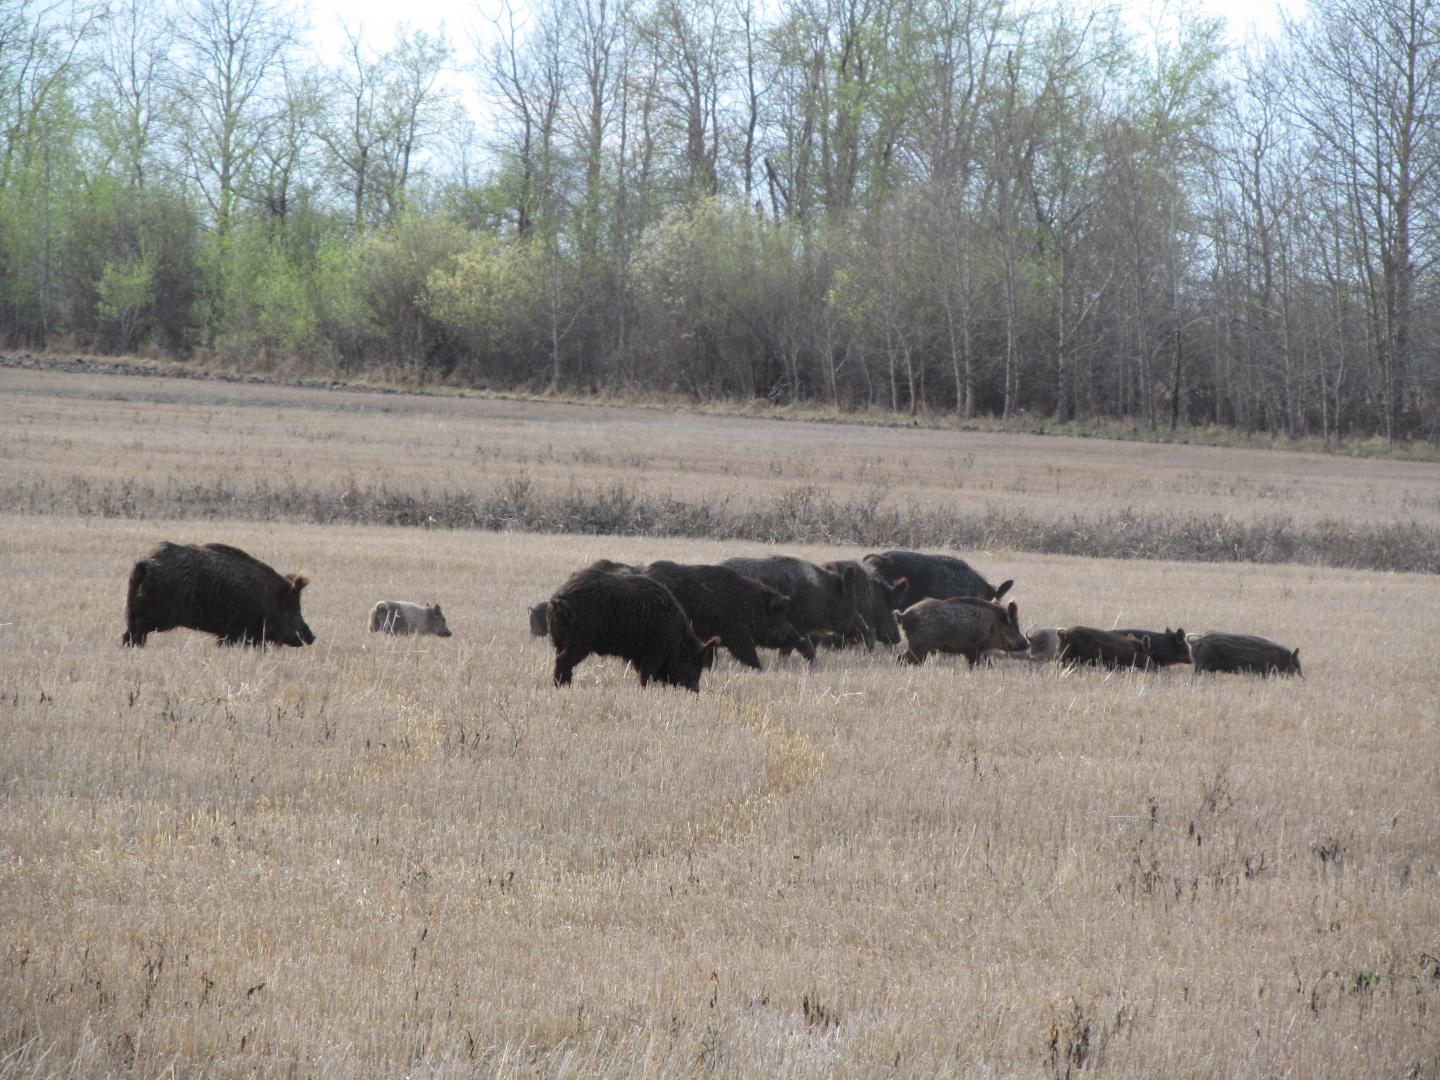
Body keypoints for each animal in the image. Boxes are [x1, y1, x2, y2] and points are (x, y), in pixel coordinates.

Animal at [122, 541, 314, 648]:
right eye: (289, 607)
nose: (312, 637)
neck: (266, 598)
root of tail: (145, 565)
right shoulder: (238, 630)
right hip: (158, 615)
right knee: (135, 633)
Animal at [546, 566, 719, 691]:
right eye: (694, 663)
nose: (697, 691)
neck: (676, 638)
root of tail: (557, 600)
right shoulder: (654, 652)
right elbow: (647, 673)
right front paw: (646, 690)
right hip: (579, 641)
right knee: (562, 661)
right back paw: (563, 686)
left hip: (560, 642)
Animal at [641, 560, 809, 670]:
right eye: (777, 613)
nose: (799, 637)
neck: (750, 607)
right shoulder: (738, 635)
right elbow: (749, 654)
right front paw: (761, 669)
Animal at [721, 555, 872, 656]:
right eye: (850, 602)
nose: (866, 628)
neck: (822, 595)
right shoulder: (797, 626)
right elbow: (793, 650)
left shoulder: (802, 630)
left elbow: (809, 651)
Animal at [895, 597, 1029, 666]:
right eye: (1015, 627)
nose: (1027, 644)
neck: (994, 624)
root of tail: (903, 615)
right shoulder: (975, 649)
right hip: (919, 645)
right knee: (901, 658)